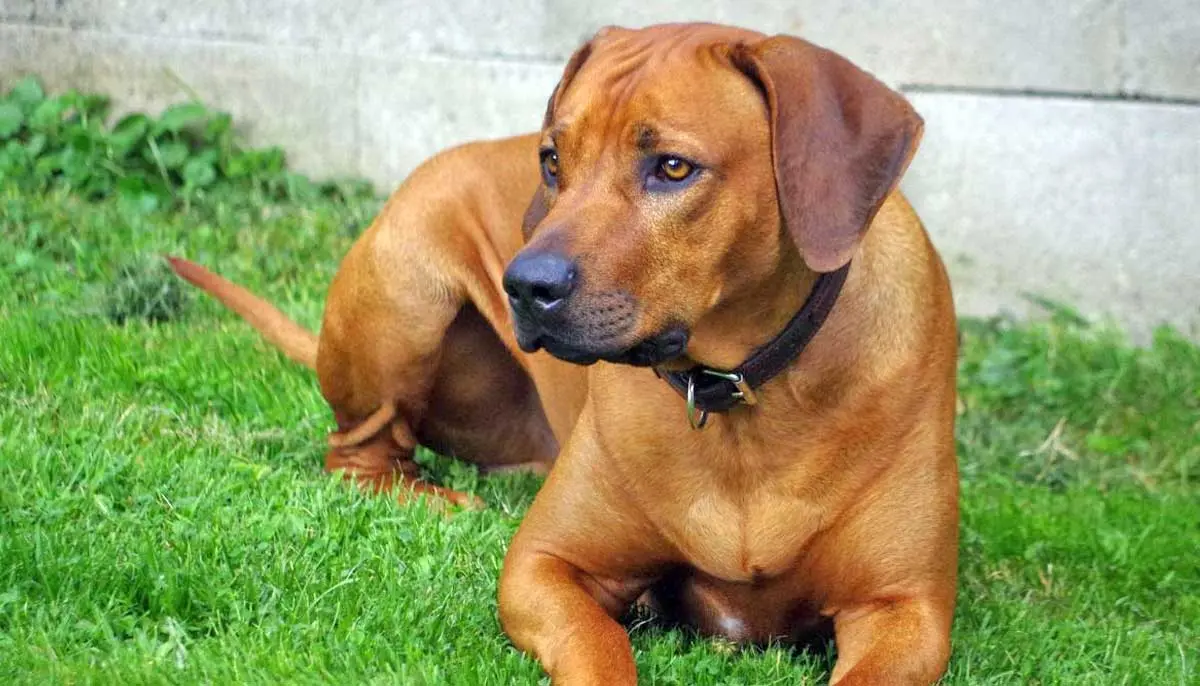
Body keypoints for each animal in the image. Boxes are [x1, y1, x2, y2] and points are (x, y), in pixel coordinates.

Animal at [171, 22, 955, 686]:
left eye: (673, 167)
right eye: (552, 160)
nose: (524, 285)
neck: (736, 389)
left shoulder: (906, 612)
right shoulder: (543, 566)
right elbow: (594, 641)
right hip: (407, 286)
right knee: (358, 454)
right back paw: (445, 499)